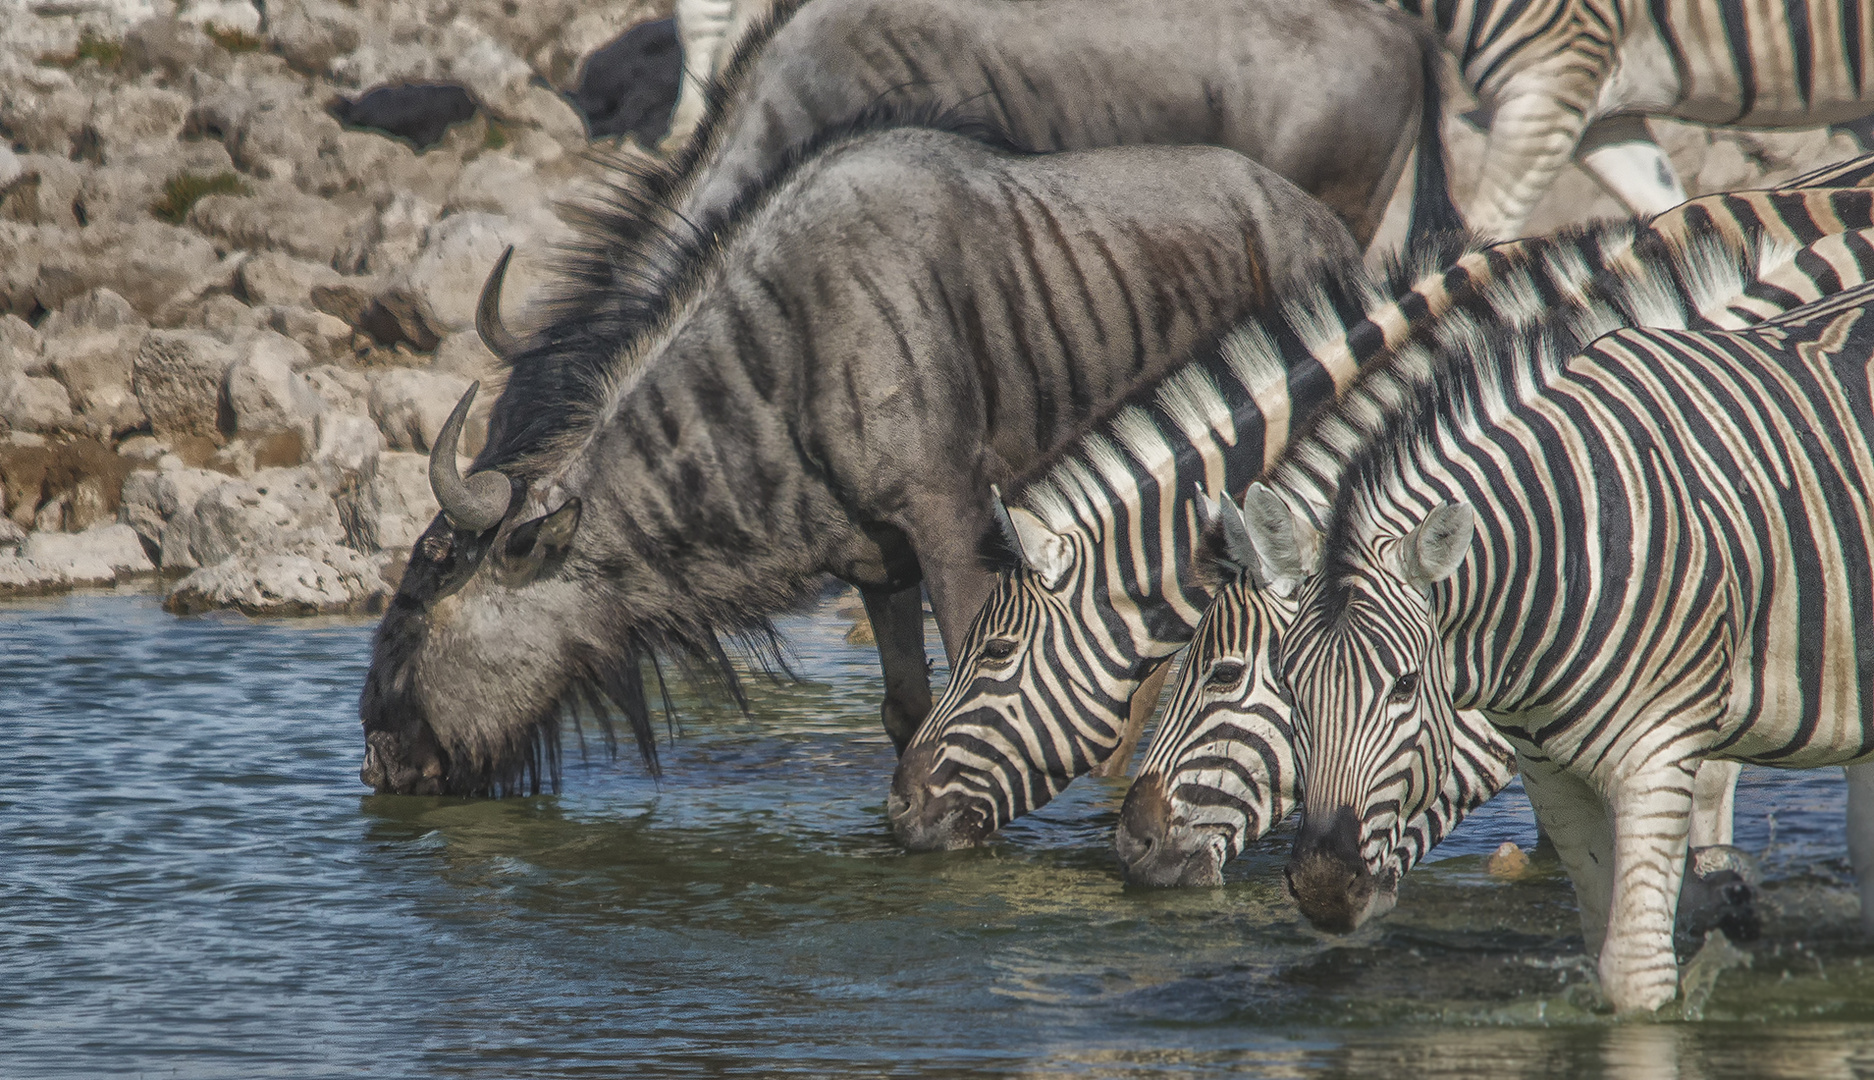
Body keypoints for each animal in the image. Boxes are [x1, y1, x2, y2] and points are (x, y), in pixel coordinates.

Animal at [1236, 262, 1874, 1012]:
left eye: (1404, 685)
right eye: (1289, 685)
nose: (1323, 888)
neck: (1568, 552)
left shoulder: (1658, 753)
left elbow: (1634, 974)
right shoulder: (1551, 776)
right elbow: (1601, 937)